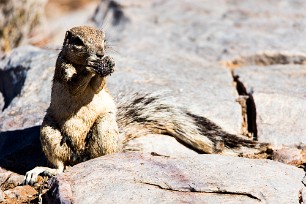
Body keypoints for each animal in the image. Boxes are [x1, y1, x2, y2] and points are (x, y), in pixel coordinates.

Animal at [25, 25, 272, 185]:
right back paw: (42, 170)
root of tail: (80, 155)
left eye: (103, 38)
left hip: (103, 126)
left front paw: (105, 65)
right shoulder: (62, 68)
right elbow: (74, 84)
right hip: (49, 131)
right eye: (77, 41)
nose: (101, 54)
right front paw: (89, 67)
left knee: (98, 157)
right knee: (60, 167)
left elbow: (97, 85)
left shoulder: (99, 85)